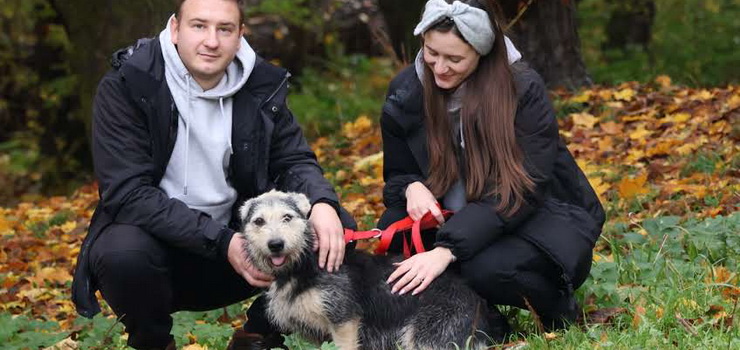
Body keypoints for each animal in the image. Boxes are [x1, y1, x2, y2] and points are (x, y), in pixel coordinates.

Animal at [237, 191, 508, 350]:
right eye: (258, 221)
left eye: (287, 217)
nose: (275, 244)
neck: (302, 265)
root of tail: (482, 308)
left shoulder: (344, 322)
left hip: (428, 336)